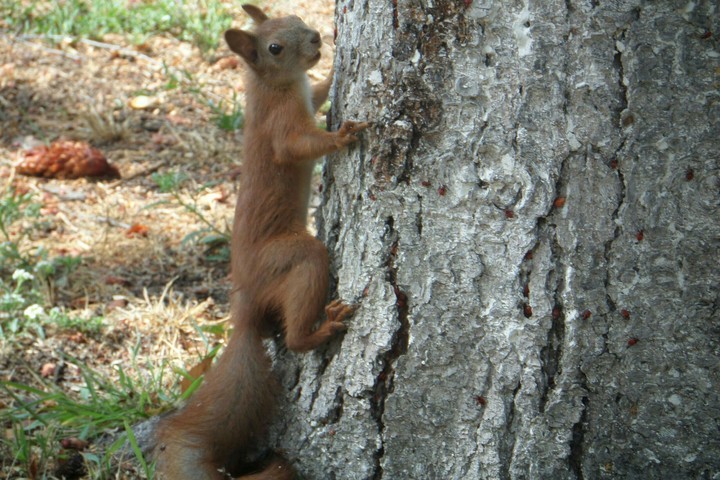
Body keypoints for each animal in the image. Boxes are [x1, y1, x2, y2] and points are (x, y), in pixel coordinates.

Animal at [152, 4, 368, 479]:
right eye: (274, 48)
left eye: (296, 17)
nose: (317, 37)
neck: (271, 86)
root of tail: (246, 302)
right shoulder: (281, 125)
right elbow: (299, 146)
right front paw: (343, 136)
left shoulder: (306, 96)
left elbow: (320, 93)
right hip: (290, 259)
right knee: (297, 328)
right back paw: (322, 328)